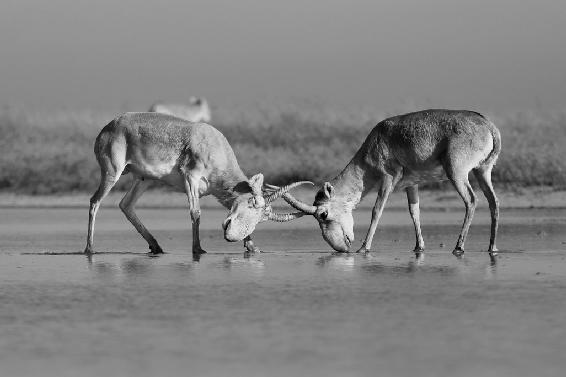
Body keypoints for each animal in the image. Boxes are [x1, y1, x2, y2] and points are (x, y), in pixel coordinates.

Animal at [85, 110, 308, 254]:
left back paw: (156, 247)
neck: (212, 143)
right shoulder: (190, 178)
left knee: (126, 205)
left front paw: (252, 247)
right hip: (112, 173)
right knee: (95, 201)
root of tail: (108, 127)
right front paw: (198, 250)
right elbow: (196, 212)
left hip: (144, 179)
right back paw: (90, 249)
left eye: (262, 219)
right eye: (252, 203)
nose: (230, 237)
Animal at [282, 107, 504, 258]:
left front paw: (364, 248)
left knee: (472, 200)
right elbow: (414, 212)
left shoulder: (388, 180)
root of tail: (488, 126)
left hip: (457, 174)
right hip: (482, 171)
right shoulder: (412, 184)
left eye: (323, 214)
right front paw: (419, 247)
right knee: (493, 201)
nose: (341, 249)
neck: (379, 137)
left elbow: (376, 210)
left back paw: (459, 247)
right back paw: (492, 247)